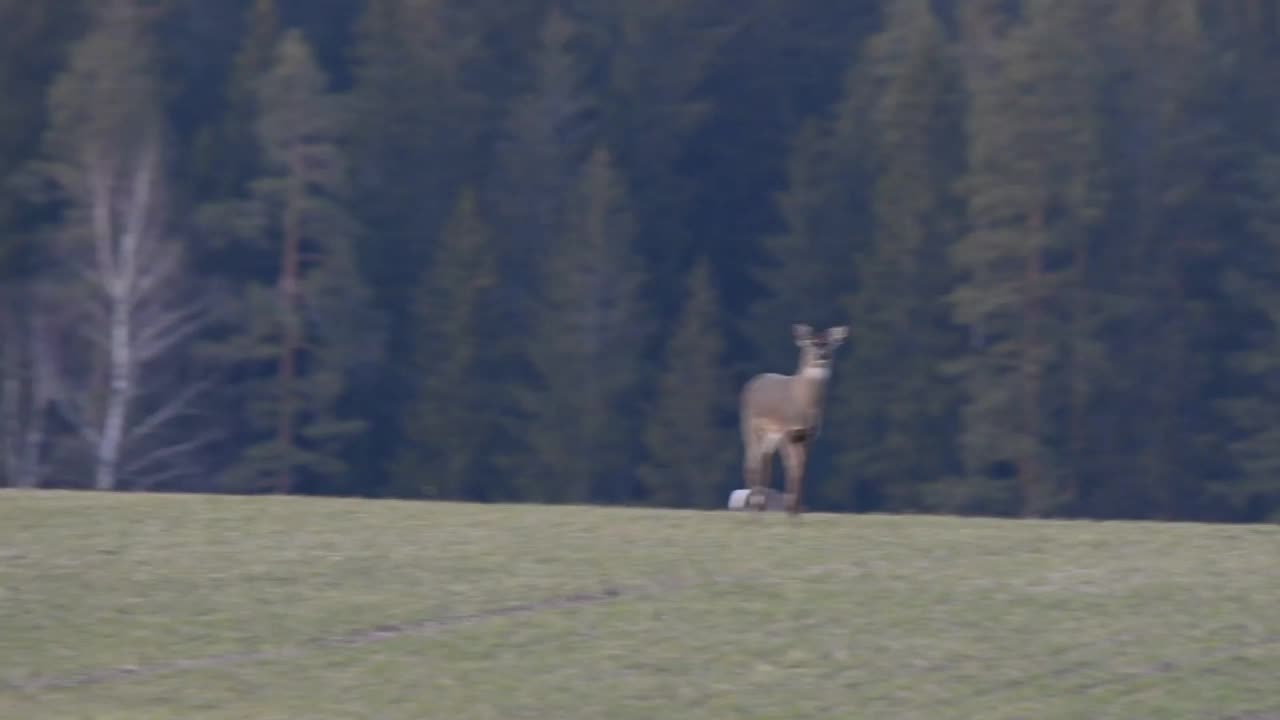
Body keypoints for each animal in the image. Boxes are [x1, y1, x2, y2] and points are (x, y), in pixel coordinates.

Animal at [742, 322, 849, 512]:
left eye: (830, 343)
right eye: (811, 343)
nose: (823, 355)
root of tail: (752, 382)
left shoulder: (809, 435)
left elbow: (802, 468)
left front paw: (798, 509)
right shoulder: (787, 431)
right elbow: (792, 467)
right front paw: (791, 507)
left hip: (770, 436)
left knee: (765, 462)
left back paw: (761, 504)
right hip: (749, 427)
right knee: (751, 463)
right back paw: (753, 507)